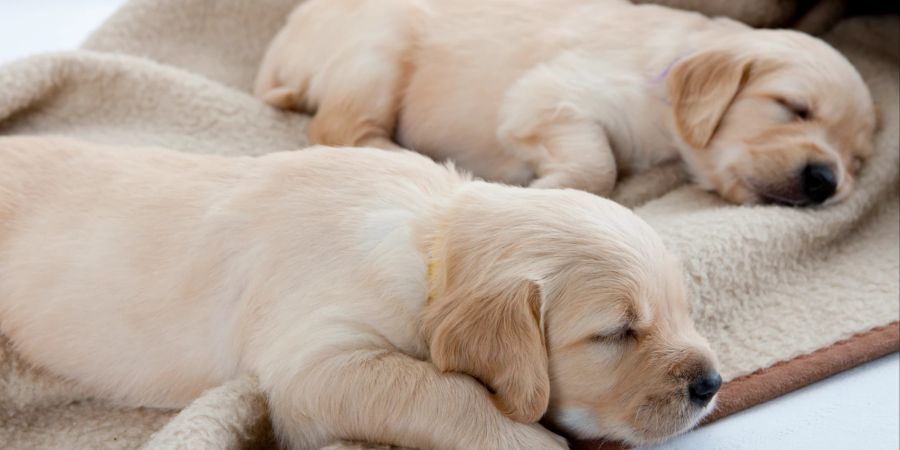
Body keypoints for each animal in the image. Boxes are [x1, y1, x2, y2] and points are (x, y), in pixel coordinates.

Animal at [0, 136, 720, 446]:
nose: (711, 384)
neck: (430, 245)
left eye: (683, 310)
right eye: (616, 333)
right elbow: (444, 392)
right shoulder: (315, 366)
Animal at [256, 0, 876, 207]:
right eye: (794, 108)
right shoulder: (549, 95)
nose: (826, 181)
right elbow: (599, 167)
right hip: (376, 52)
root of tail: (282, 45)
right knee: (339, 129)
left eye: (857, 161)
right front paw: (539, 188)